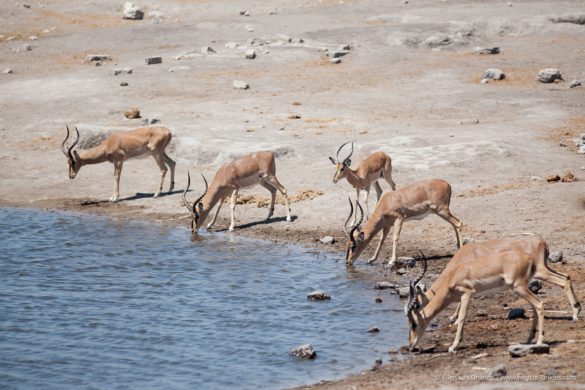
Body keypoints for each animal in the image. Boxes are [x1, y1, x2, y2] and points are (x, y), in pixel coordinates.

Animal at [406, 238, 580, 354]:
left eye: (414, 324)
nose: (411, 346)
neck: (454, 273)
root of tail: (541, 242)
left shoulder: (467, 293)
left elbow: (462, 317)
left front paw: (453, 346)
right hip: (526, 285)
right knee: (562, 281)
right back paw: (529, 339)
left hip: (523, 285)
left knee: (540, 303)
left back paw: (541, 340)